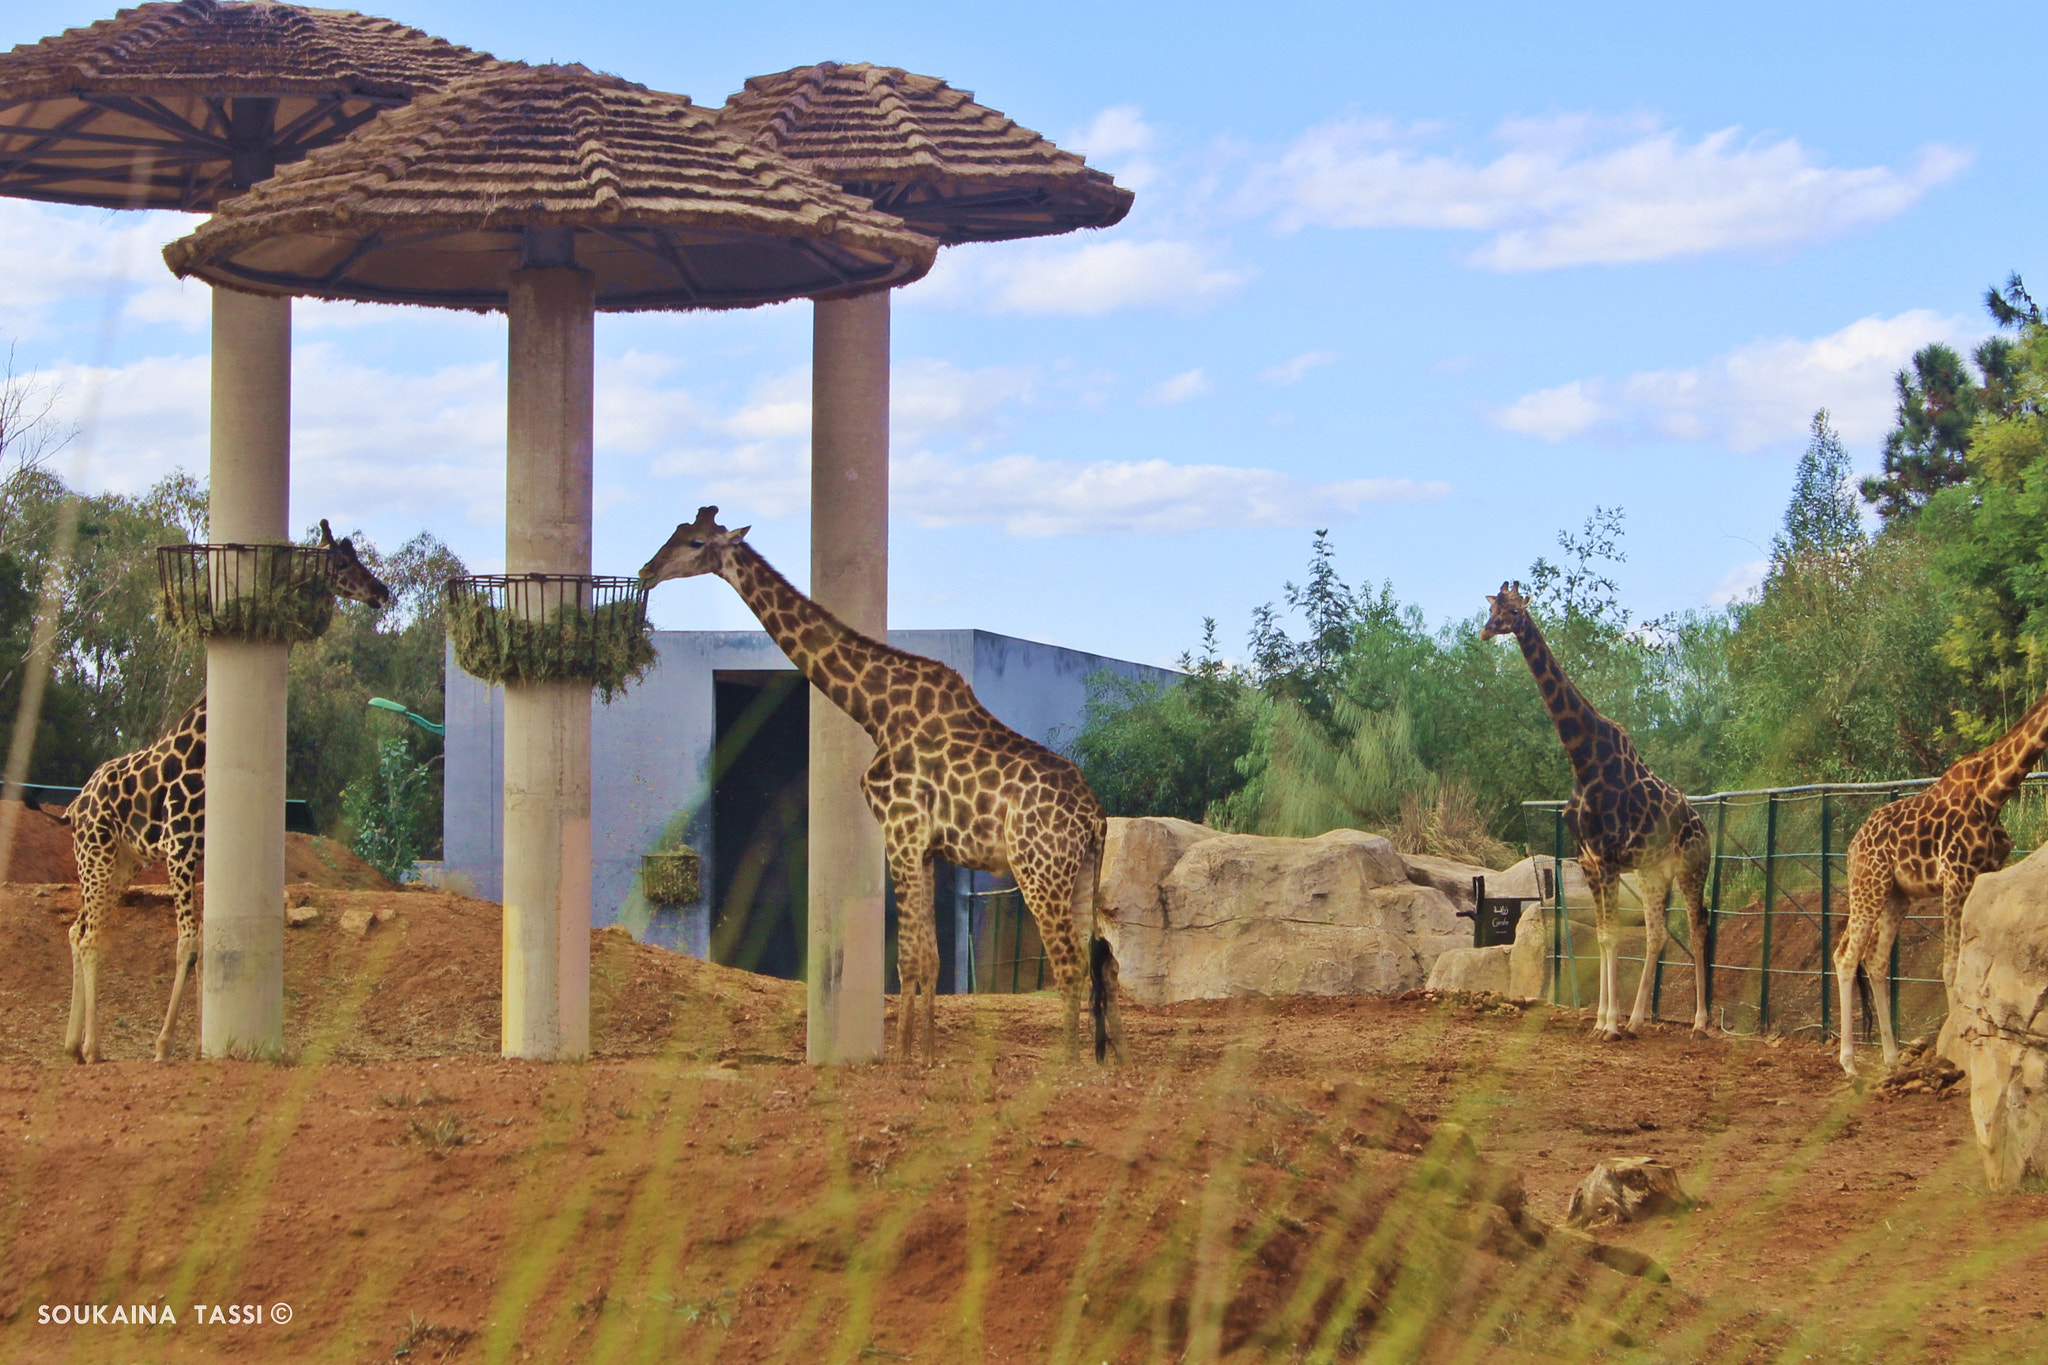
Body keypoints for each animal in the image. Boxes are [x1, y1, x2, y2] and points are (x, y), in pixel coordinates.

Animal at [37, 520, 390, 1063]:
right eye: (342, 563)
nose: (381, 592)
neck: (202, 748)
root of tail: (76, 803)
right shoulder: (179, 850)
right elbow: (187, 942)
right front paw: (164, 1045)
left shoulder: (199, 855)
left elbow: (203, 946)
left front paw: (202, 1043)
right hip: (95, 853)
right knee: (92, 934)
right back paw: (93, 1047)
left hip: (122, 862)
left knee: (77, 929)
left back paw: (73, 1044)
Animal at [640, 507, 1126, 1066]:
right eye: (675, 533)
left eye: (696, 543)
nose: (646, 572)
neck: (877, 711)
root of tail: (1095, 816)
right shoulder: (929, 847)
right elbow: (930, 958)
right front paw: (927, 1055)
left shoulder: (900, 829)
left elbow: (908, 960)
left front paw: (899, 1060)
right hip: (1081, 869)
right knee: (1102, 958)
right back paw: (1111, 1058)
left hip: (1038, 867)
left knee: (1069, 960)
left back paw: (1066, 1064)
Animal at [1482, 582, 1712, 1041]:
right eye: (1494, 607)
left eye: (1514, 611)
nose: (1486, 630)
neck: (1582, 759)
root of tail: (1704, 826)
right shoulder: (1589, 861)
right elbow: (1605, 936)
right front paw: (1605, 1022)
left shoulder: (1605, 860)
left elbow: (1610, 937)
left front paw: (1609, 1024)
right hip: (1652, 873)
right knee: (1657, 933)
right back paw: (1639, 1020)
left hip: (1691, 867)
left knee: (1698, 927)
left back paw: (1699, 1023)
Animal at [1832, 688, 2048, 1076]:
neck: (1994, 792)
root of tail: (1852, 848)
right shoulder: (1955, 876)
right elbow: (1950, 967)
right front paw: (1955, 1050)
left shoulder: (1984, 872)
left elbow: (1968, 964)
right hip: (1869, 886)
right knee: (1846, 956)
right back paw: (1850, 1063)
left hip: (1896, 896)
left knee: (1876, 960)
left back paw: (1891, 1057)